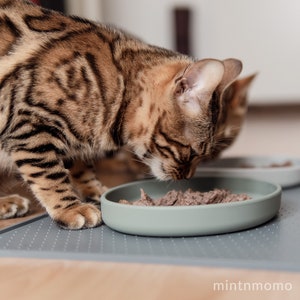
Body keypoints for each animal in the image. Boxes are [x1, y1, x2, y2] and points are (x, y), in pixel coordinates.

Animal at [0, 0, 255, 230]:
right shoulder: (31, 126)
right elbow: (50, 174)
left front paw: (96, 190)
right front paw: (71, 208)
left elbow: (81, 166)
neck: (117, 86)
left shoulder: (70, 141)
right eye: (192, 152)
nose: (187, 178)